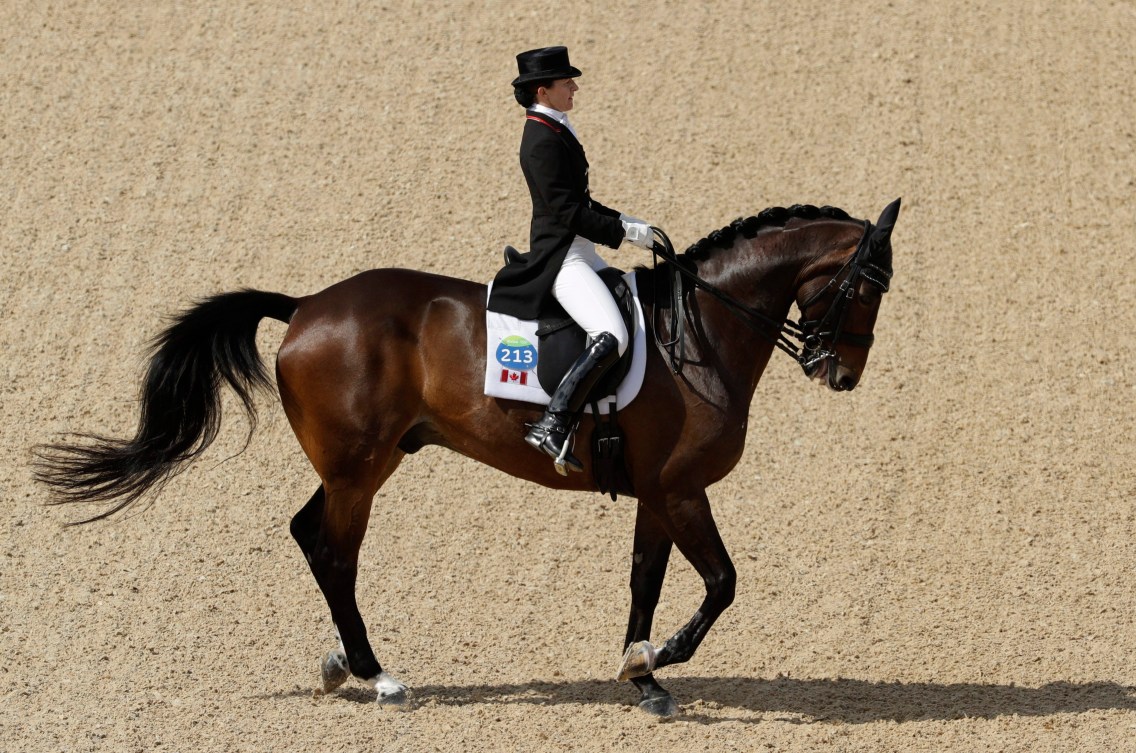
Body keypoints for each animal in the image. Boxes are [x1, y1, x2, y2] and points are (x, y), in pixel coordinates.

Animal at [35, 197, 899, 717]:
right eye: (867, 286)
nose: (841, 374)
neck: (699, 334)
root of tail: (307, 306)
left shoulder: (658, 492)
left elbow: (645, 581)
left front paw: (643, 672)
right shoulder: (682, 489)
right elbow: (722, 582)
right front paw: (666, 657)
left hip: (364, 463)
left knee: (309, 534)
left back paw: (342, 663)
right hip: (359, 470)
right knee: (334, 552)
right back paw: (375, 672)